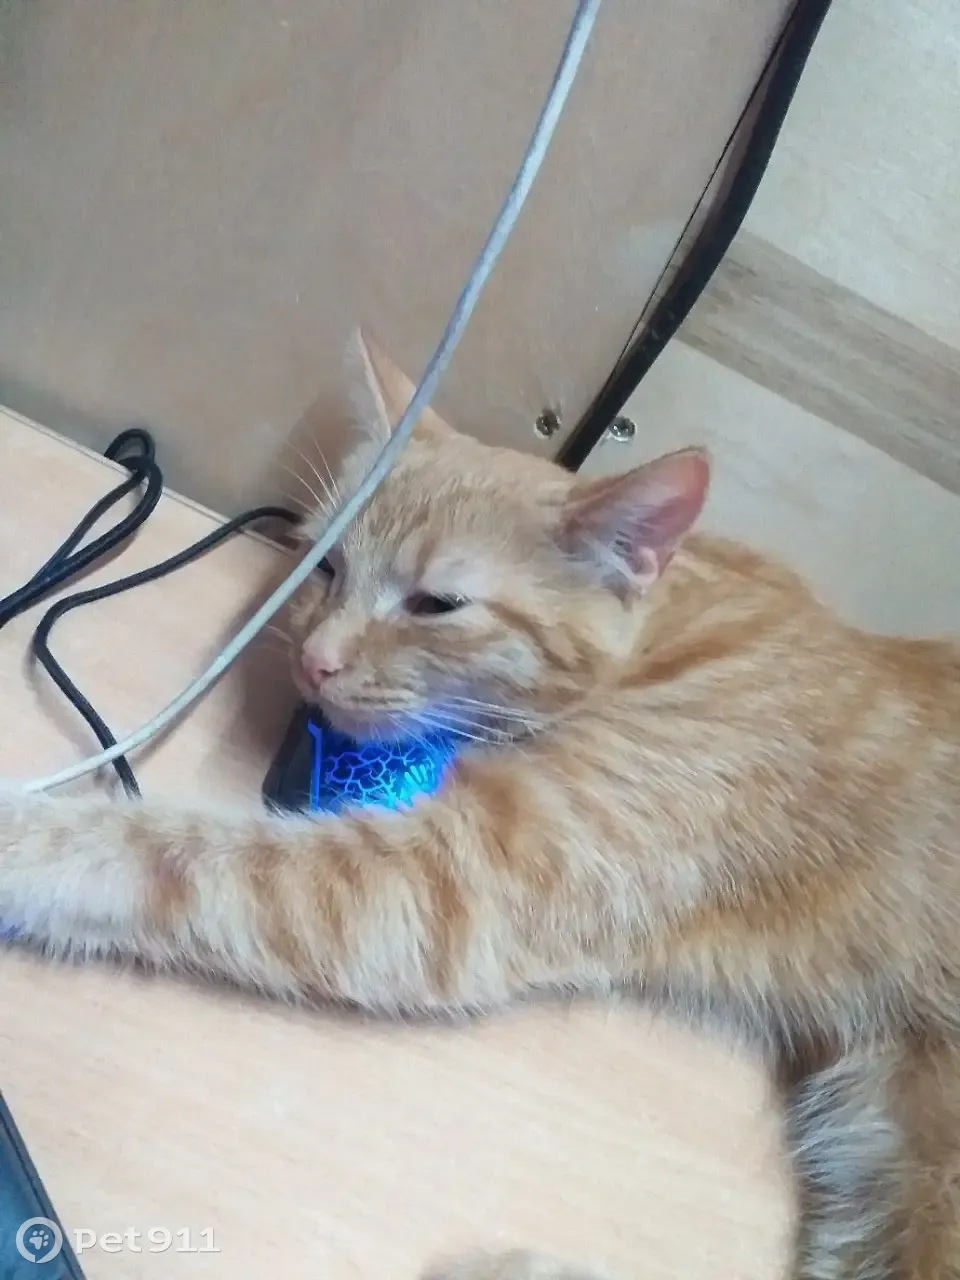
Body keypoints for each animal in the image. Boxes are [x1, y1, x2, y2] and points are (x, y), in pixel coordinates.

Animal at [2, 333, 959, 1280]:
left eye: (435, 604)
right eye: (328, 564)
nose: (313, 660)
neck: (669, 633)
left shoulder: (455, 878)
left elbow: (170, 854)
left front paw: (23, 839)